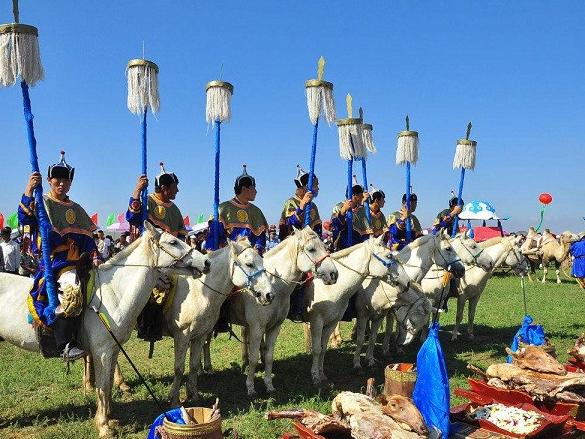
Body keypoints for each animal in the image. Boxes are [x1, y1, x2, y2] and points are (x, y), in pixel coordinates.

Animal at [0, 225, 210, 438]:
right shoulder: (102, 352)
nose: (206, 262)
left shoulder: (113, 349)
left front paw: (110, 418)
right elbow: (102, 386)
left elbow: (107, 384)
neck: (114, 294)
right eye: (173, 242)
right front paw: (103, 426)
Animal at [164, 239, 274, 408]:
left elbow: (193, 365)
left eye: (262, 262)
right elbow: (178, 368)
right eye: (249, 264)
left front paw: (193, 395)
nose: (269, 294)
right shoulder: (181, 336)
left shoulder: (200, 335)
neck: (199, 293)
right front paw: (175, 401)